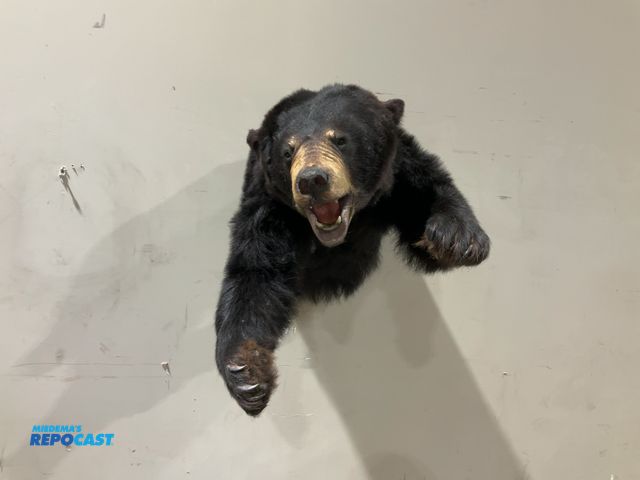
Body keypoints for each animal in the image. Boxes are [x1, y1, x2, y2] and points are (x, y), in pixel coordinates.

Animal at [215, 84, 490, 416]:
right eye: (288, 151)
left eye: (340, 139)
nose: (312, 180)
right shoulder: (268, 207)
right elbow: (255, 274)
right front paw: (247, 374)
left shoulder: (399, 170)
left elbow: (428, 188)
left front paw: (457, 239)